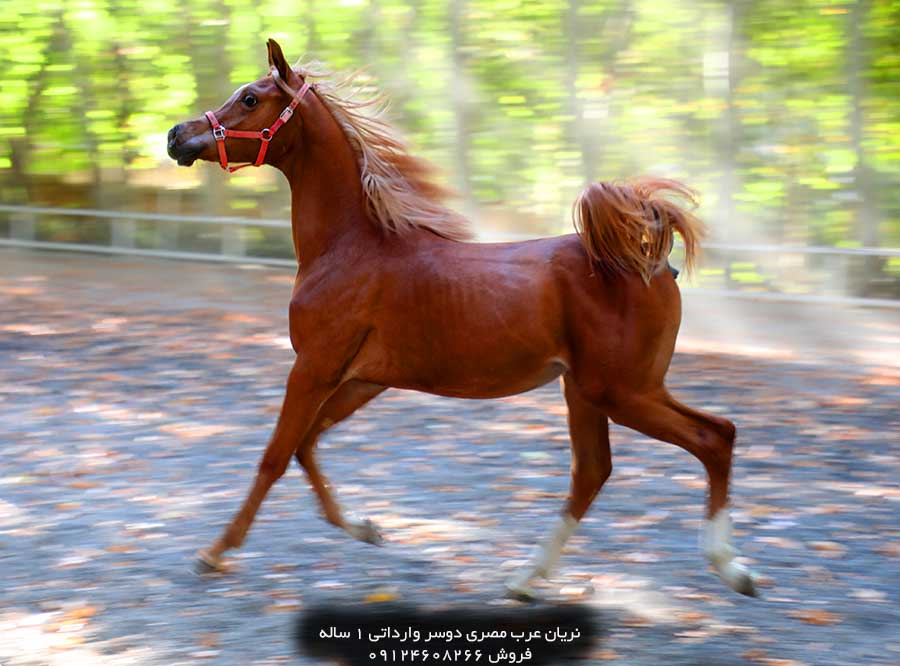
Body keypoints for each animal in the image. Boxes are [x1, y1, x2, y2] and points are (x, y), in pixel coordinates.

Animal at [165, 39, 756, 600]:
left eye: (249, 98)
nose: (176, 136)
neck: (352, 247)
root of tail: (649, 261)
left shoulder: (313, 367)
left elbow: (274, 455)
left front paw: (215, 552)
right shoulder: (362, 378)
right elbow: (305, 447)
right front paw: (365, 528)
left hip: (621, 391)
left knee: (712, 437)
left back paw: (731, 568)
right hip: (591, 391)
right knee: (597, 470)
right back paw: (526, 580)